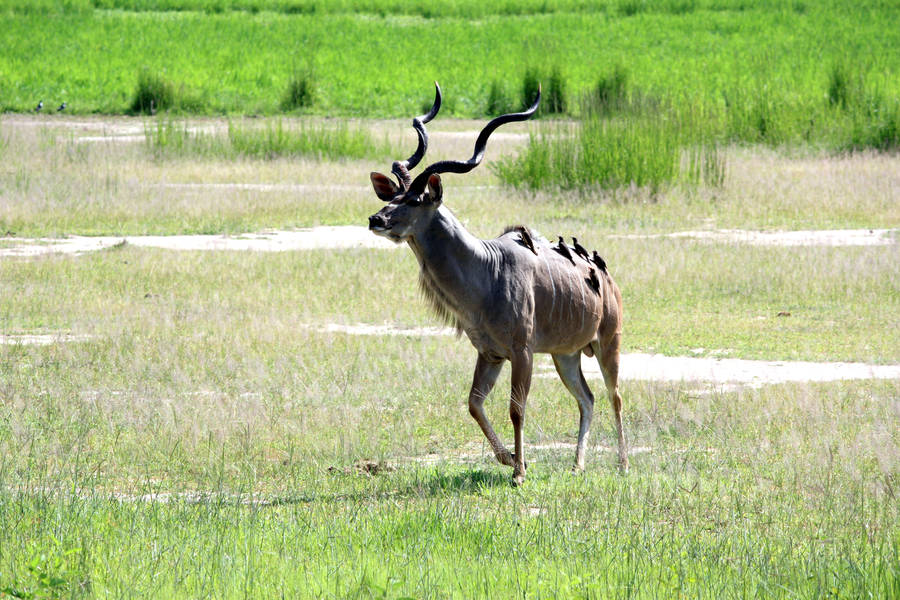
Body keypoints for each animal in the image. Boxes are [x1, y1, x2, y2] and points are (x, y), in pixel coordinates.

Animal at [368, 83, 627, 485]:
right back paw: (577, 465)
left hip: (607, 342)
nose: (376, 219)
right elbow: (474, 403)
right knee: (587, 398)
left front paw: (519, 472)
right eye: (393, 196)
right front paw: (508, 459)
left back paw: (622, 464)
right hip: (565, 355)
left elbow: (516, 408)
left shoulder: (521, 352)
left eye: (416, 200)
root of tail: (605, 275)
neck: (487, 270)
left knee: (615, 395)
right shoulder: (490, 353)